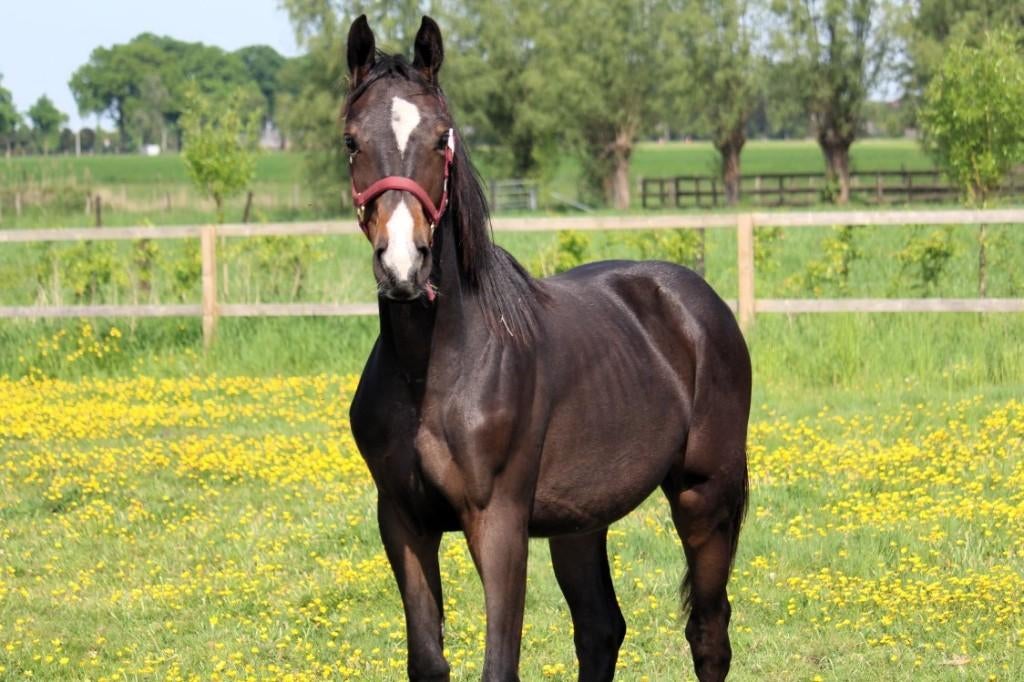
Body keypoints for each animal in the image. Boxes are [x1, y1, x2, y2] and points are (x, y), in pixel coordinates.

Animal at [345, 15, 751, 682]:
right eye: (353, 141)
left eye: (441, 138)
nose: (404, 265)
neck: (432, 370)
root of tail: (697, 300)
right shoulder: (402, 521)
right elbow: (428, 660)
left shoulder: (499, 523)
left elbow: (499, 664)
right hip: (580, 520)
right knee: (601, 629)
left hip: (704, 495)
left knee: (709, 635)